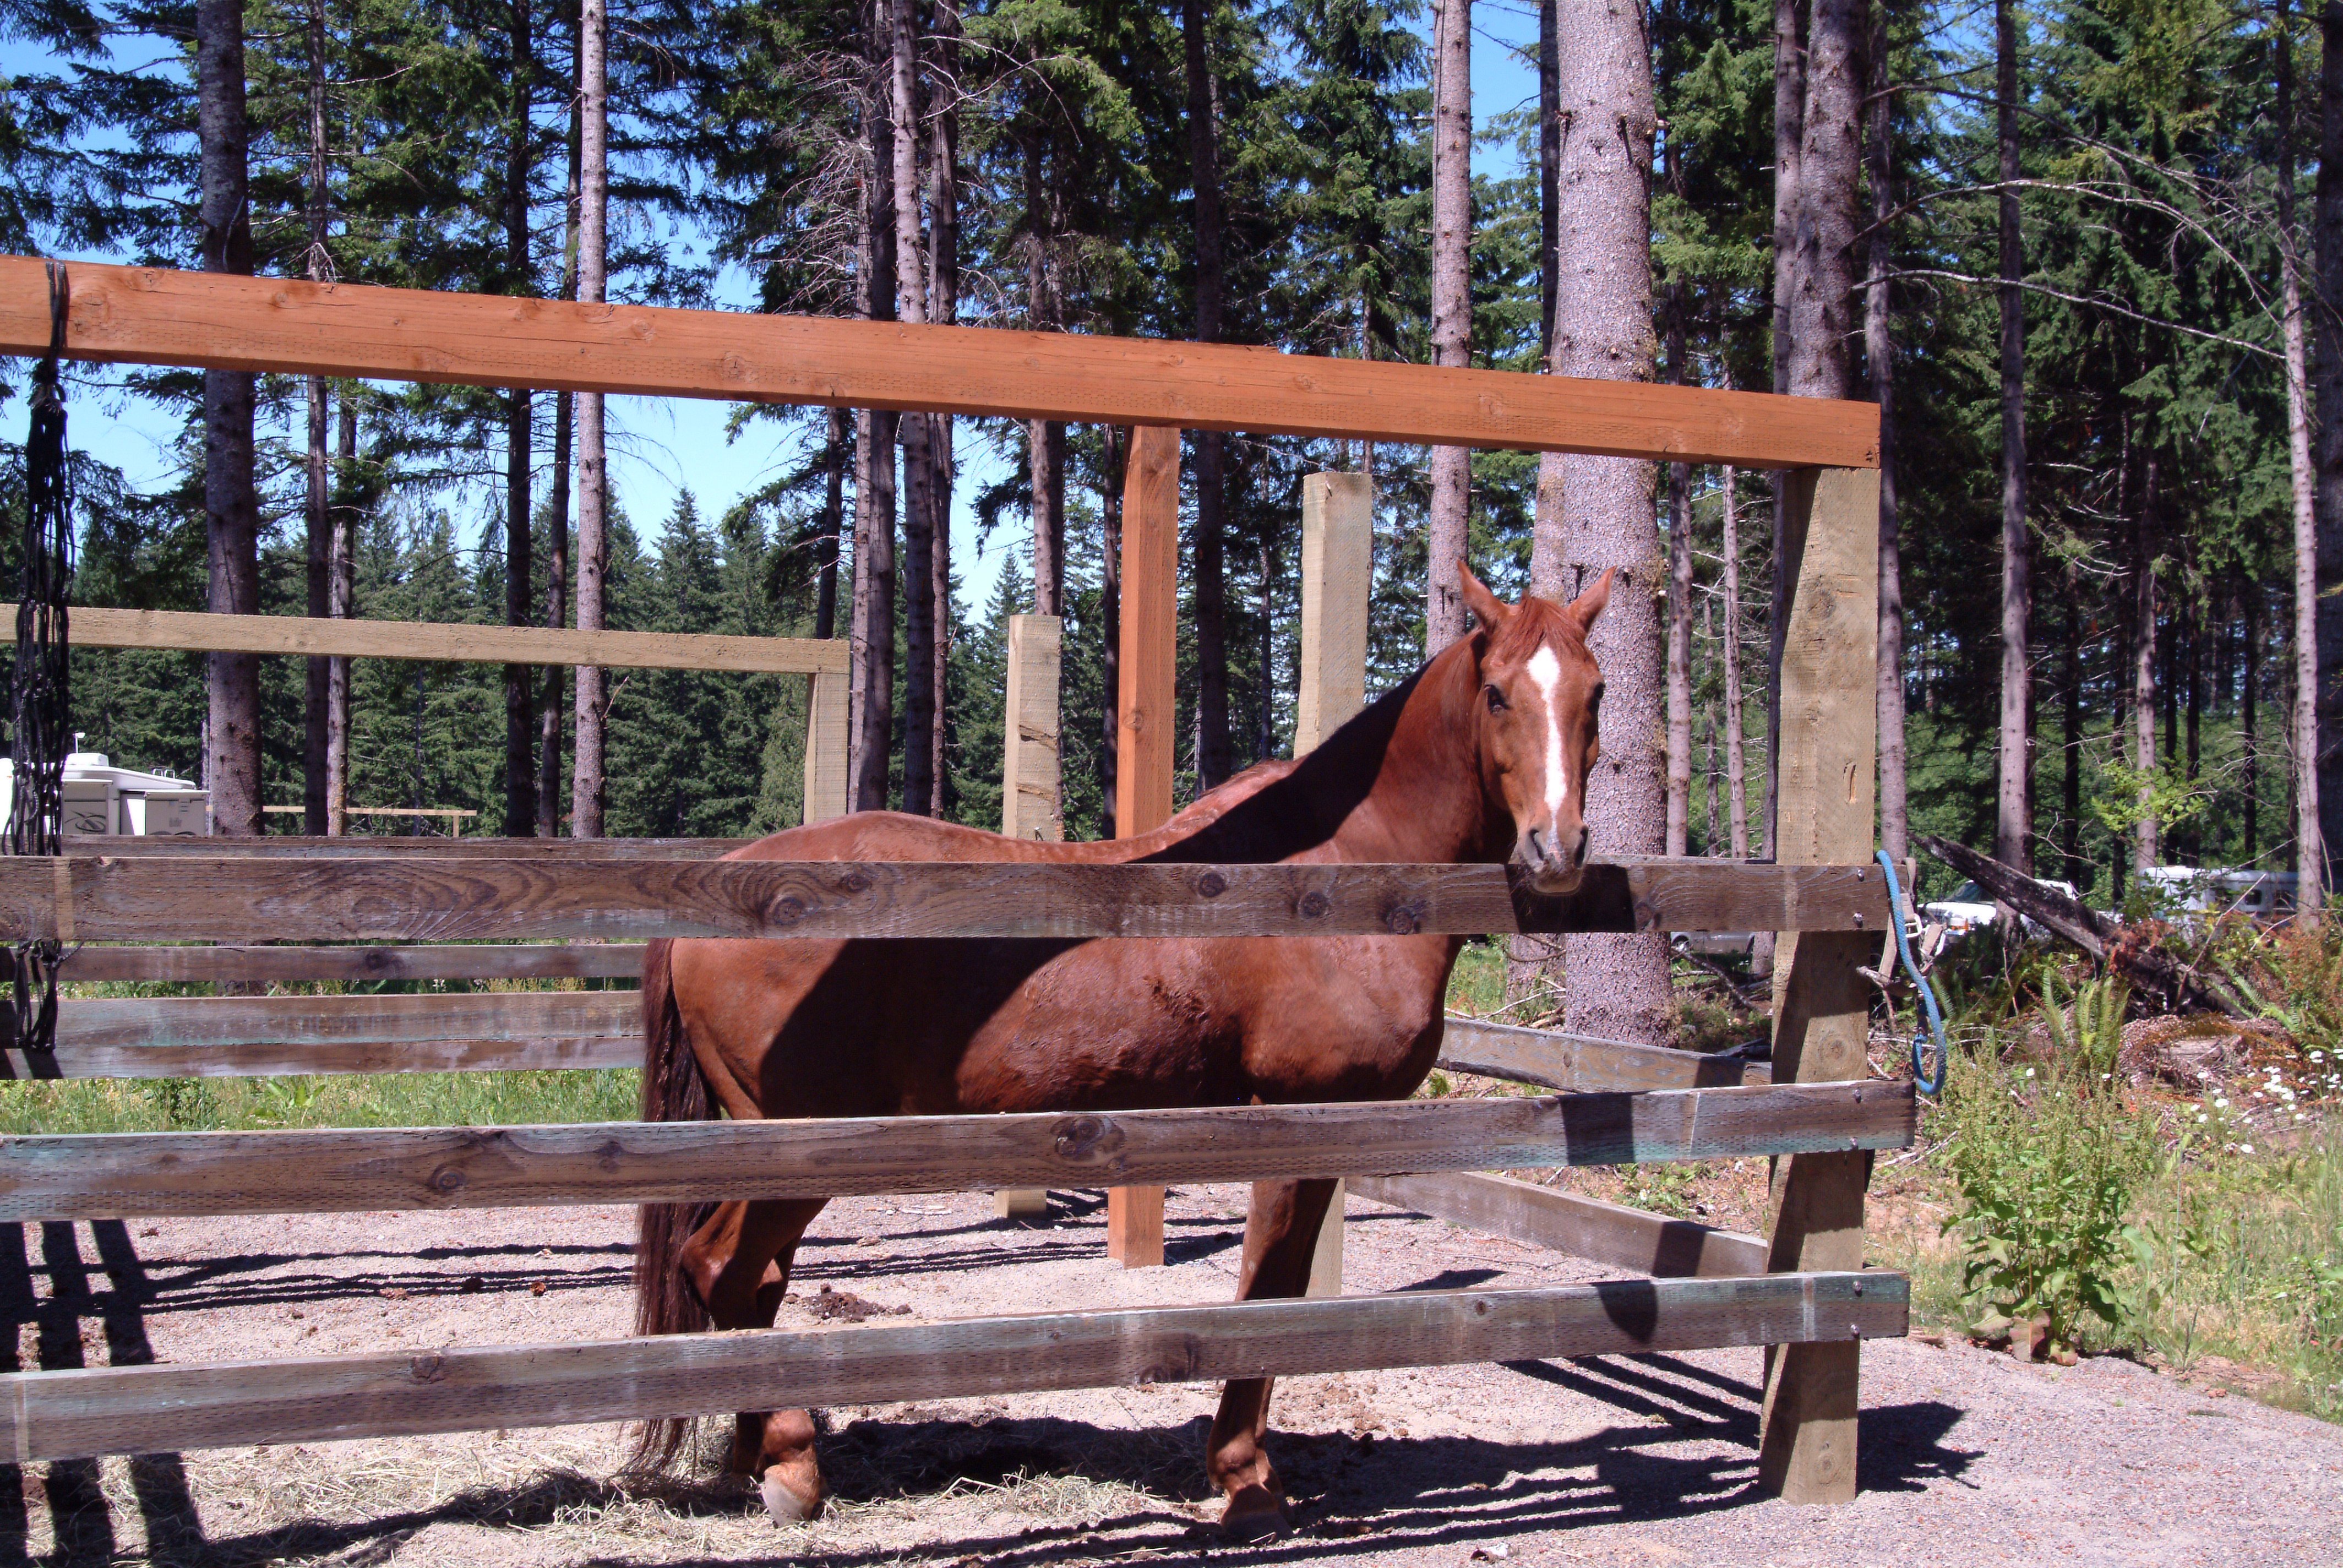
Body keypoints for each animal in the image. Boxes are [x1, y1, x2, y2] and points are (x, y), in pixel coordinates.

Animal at [631, 563, 1612, 1535]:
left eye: (1596, 692)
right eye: (1497, 694)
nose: (1556, 848)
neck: (1343, 876)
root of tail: (725, 883)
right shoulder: (1295, 1123)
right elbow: (1268, 1292)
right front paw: (1245, 1477)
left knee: (755, 1281)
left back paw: (760, 1453)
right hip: (798, 1147)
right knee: (722, 1269)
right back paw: (794, 1466)